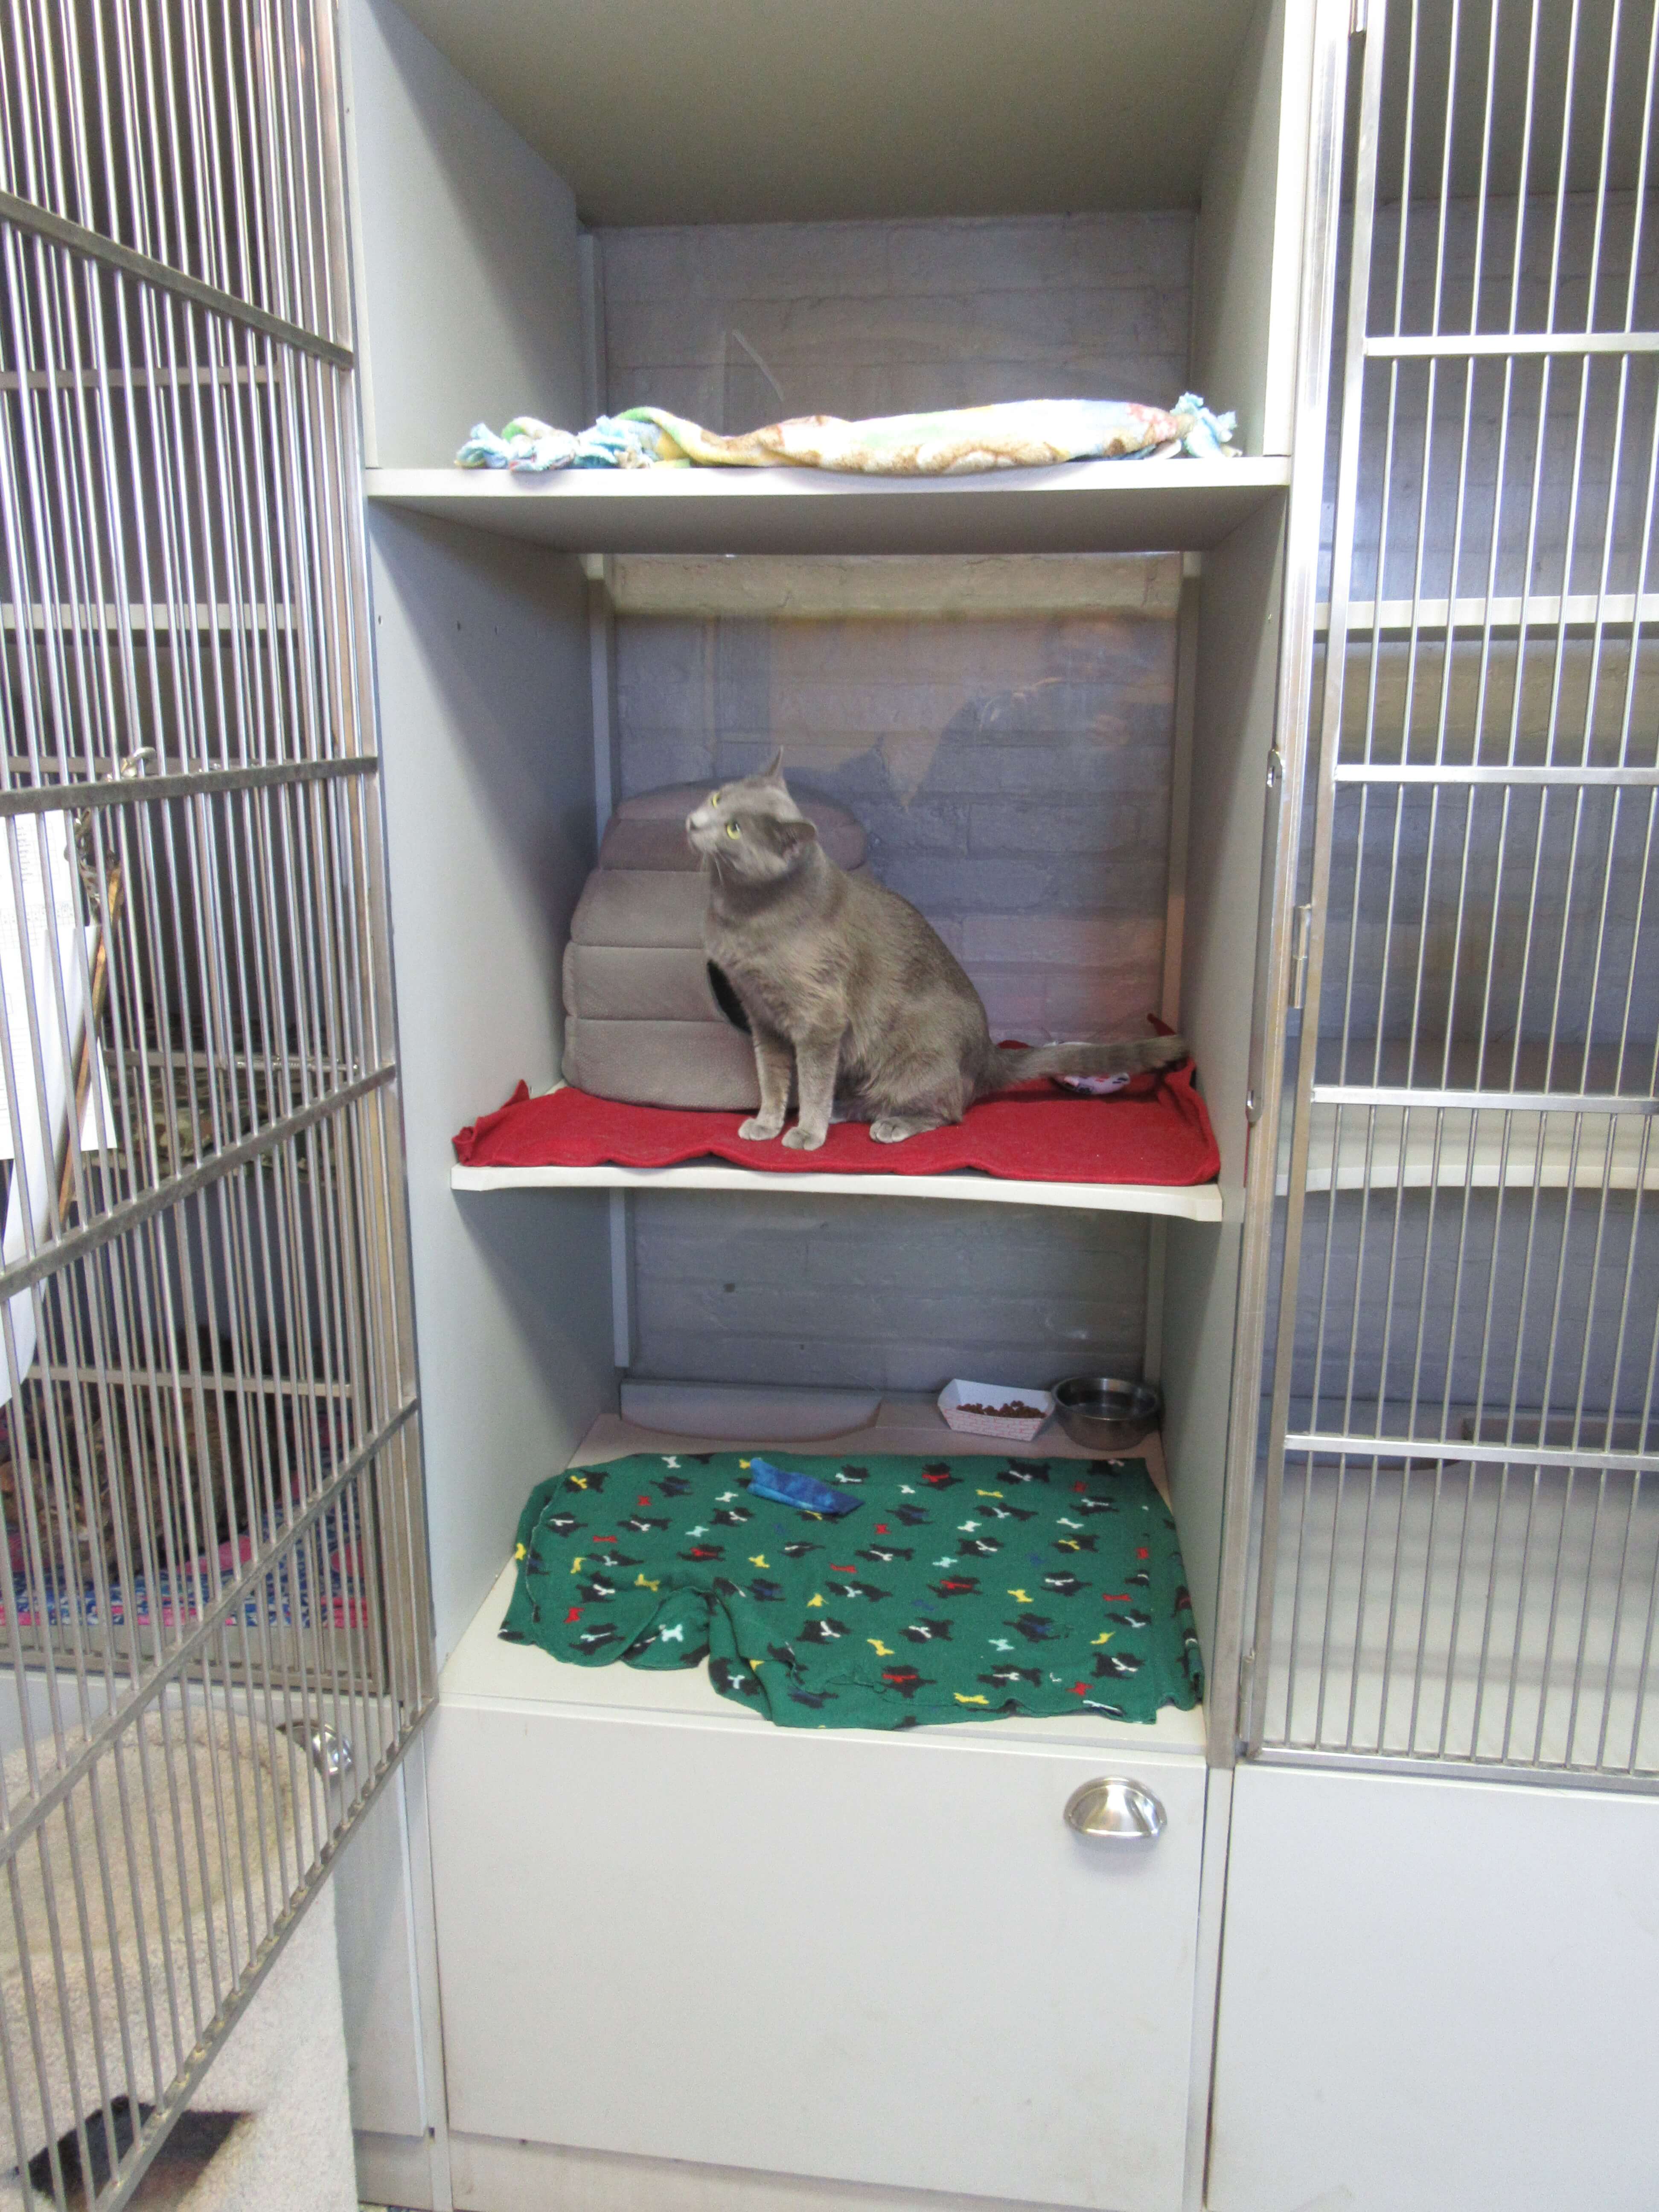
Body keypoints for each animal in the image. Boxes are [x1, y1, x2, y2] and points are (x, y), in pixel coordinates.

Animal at [686, 752, 1185, 1150]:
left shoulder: (820, 1020)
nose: (693, 822)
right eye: (718, 801)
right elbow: (771, 1078)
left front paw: (806, 1133)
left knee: (949, 1110)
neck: (739, 913)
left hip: (919, 1055)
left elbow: (810, 1081)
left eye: (733, 830)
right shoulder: (761, 1016)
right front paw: (766, 1123)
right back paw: (843, 1108)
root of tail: (987, 1053)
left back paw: (889, 1124)